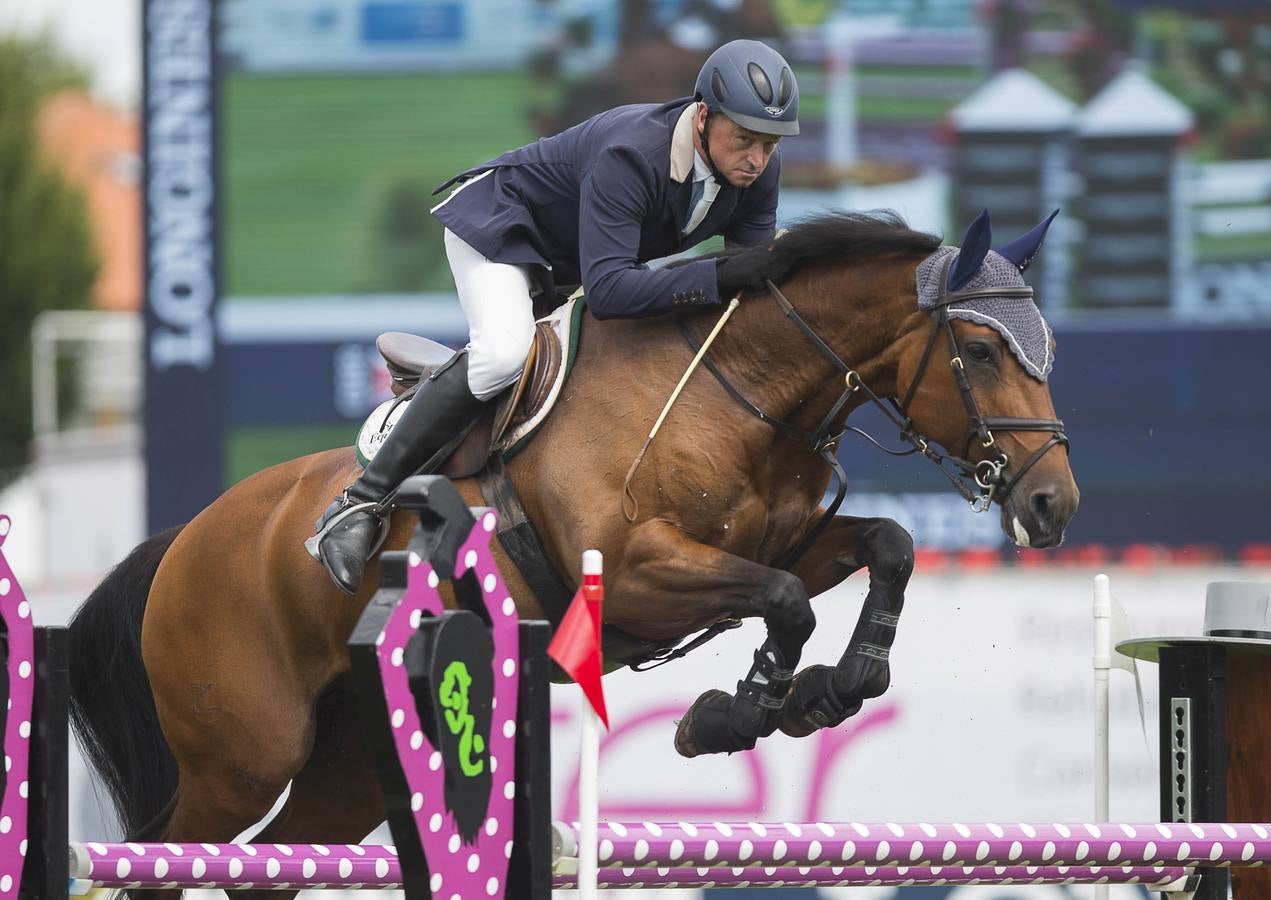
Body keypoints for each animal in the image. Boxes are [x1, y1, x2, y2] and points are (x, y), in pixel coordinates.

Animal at [69, 211, 1077, 894]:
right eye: (980, 351)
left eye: (1047, 348)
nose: (1051, 504)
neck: (740, 391)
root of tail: (183, 539)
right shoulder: (634, 575)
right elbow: (784, 601)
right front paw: (732, 715)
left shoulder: (784, 542)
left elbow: (886, 545)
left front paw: (838, 685)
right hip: (242, 758)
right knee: (158, 854)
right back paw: (345, 530)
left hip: (346, 764)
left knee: (271, 863)